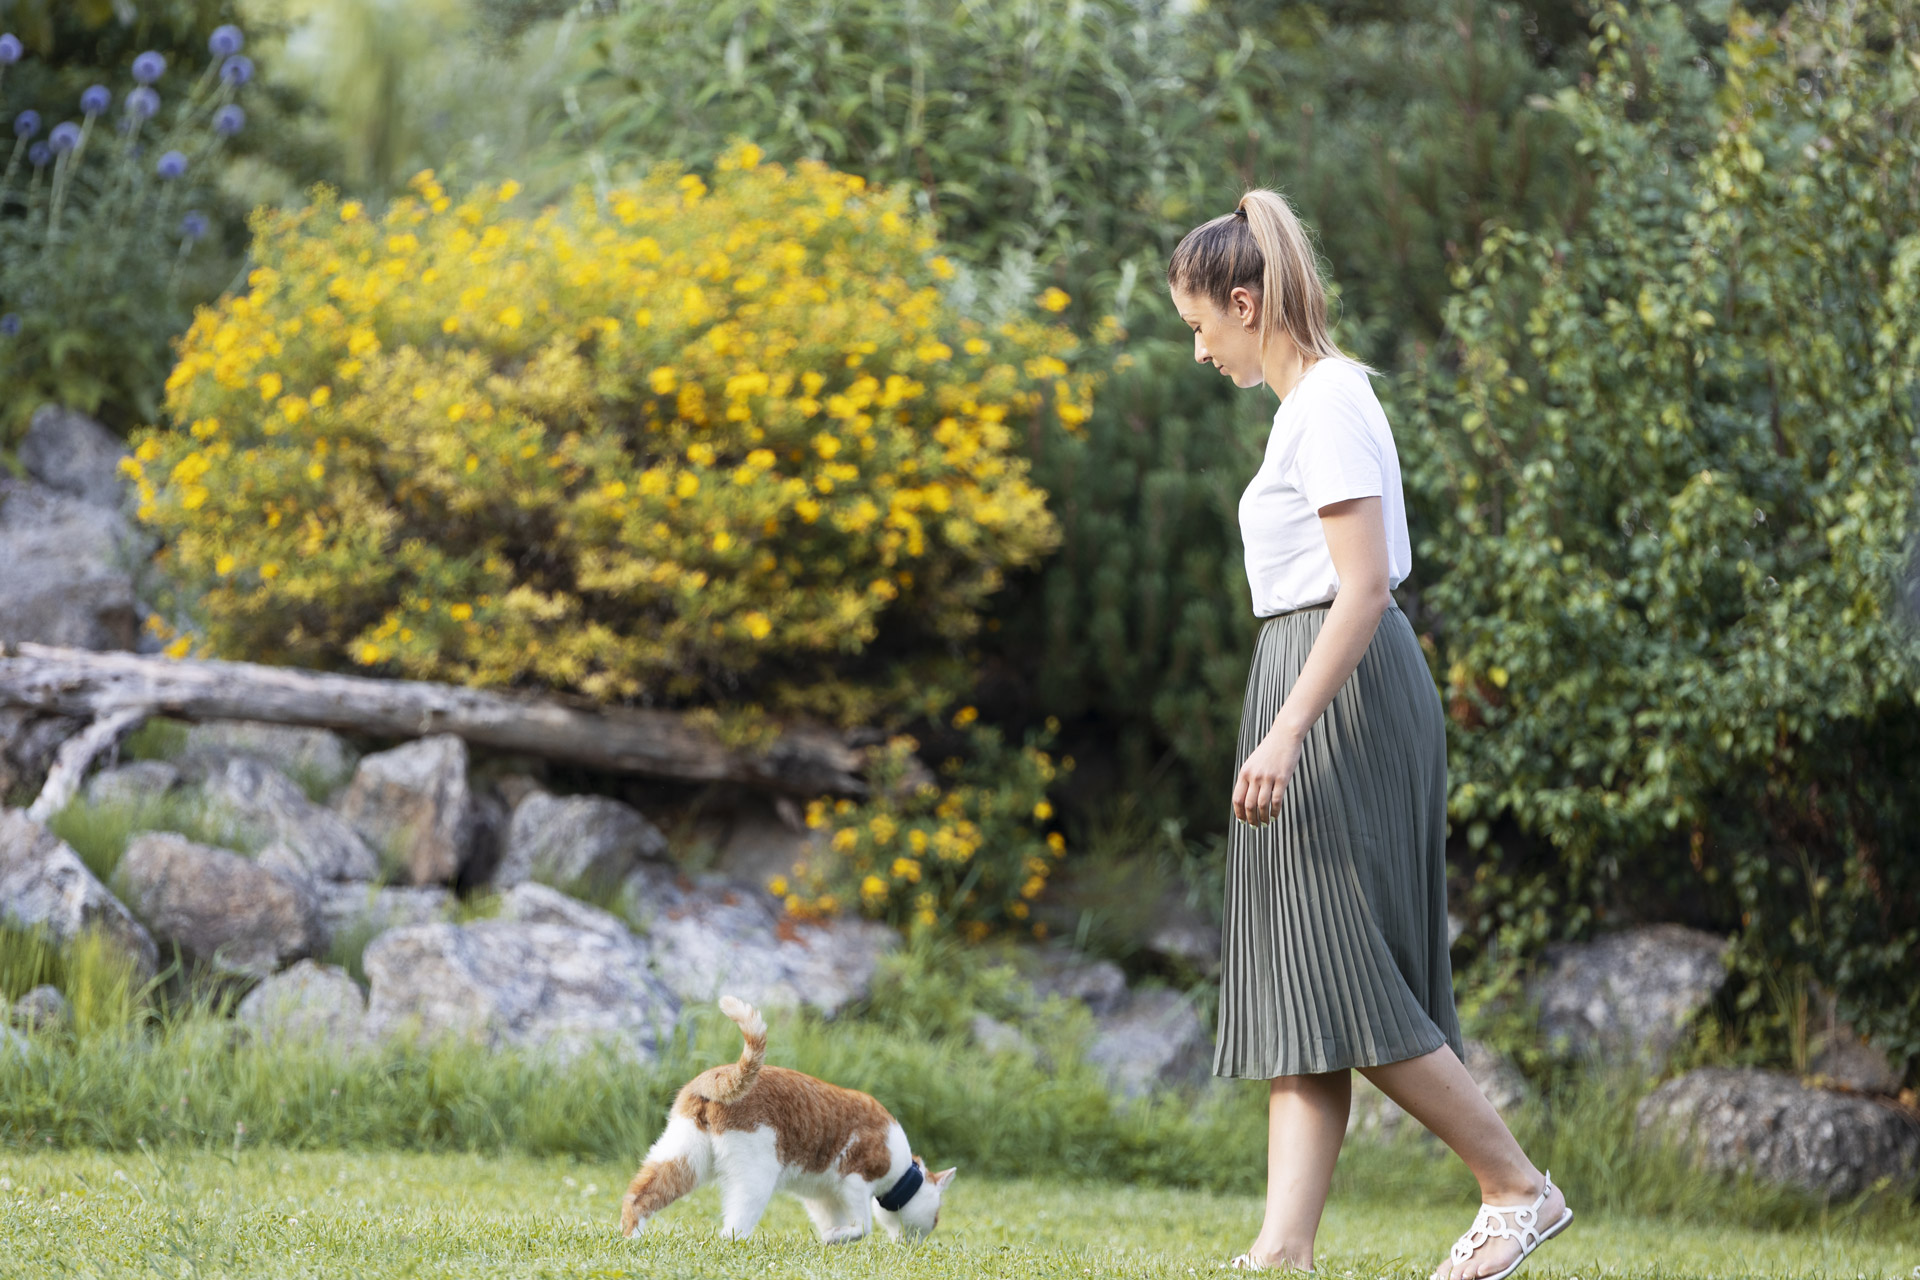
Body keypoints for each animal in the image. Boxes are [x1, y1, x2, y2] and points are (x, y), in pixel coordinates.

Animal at [618, 997, 956, 1243]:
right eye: (936, 1218)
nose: (917, 1244)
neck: (900, 1170)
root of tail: (718, 1075)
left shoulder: (822, 1197)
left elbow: (835, 1224)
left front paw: (830, 1241)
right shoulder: (855, 1180)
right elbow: (863, 1227)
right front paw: (835, 1238)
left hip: (684, 1157)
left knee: (639, 1196)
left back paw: (632, 1237)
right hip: (756, 1176)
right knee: (730, 1231)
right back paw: (743, 1245)